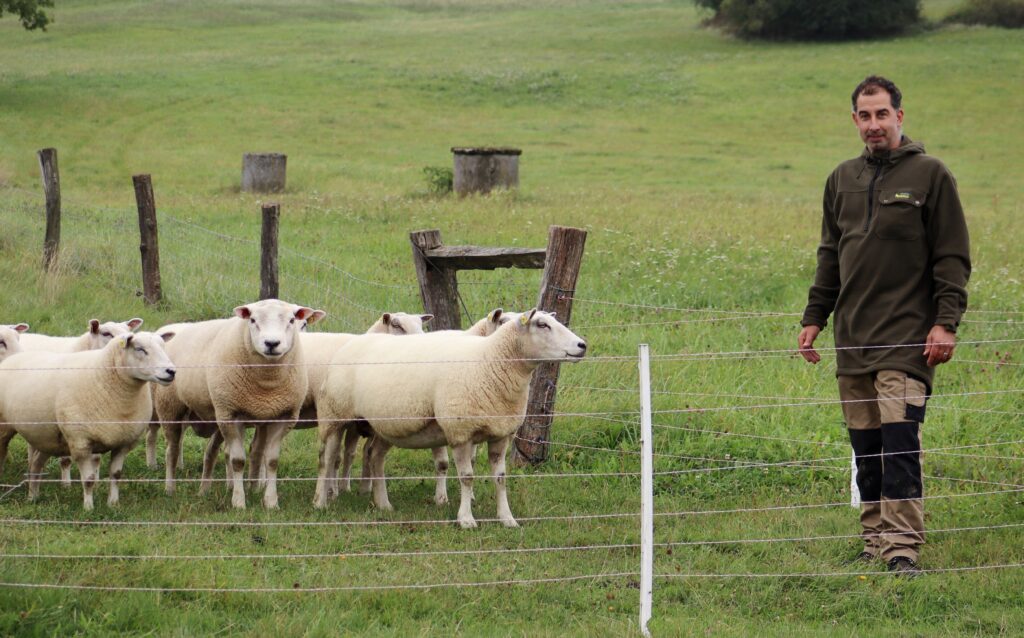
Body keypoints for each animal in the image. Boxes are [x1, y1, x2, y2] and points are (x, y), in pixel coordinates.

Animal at [0, 331, 176, 512]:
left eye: (163, 346)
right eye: (140, 349)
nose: (171, 371)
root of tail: (12, 358)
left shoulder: (123, 442)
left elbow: (116, 475)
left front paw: (113, 503)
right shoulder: (80, 442)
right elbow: (89, 479)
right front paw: (88, 508)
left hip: (47, 438)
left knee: (35, 465)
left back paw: (32, 497)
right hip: (5, 427)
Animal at [152, 299, 315, 509]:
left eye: (292, 320)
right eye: (252, 320)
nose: (271, 343)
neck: (267, 385)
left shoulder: (283, 416)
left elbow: (271, 461)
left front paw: (271, 502)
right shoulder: (231, 415)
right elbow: (237, 460)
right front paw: (238, 502)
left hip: (216, 415)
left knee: (210, 451)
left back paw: (204, 490)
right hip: (171, 407)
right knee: (172, 450)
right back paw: (170, 489)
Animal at [311, 309, 585, 528]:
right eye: (542, 324)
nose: (582, 345)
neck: (489, 361)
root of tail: (353, 341)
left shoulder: (500, 433)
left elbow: (500, 478)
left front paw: (507, 518)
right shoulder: (460, 432)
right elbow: (466, 477)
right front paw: (466, 519)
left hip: (386, 425)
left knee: (374, 456)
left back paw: (383, 503)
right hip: (334, 416)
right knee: (327, 458)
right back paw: (321, 502)